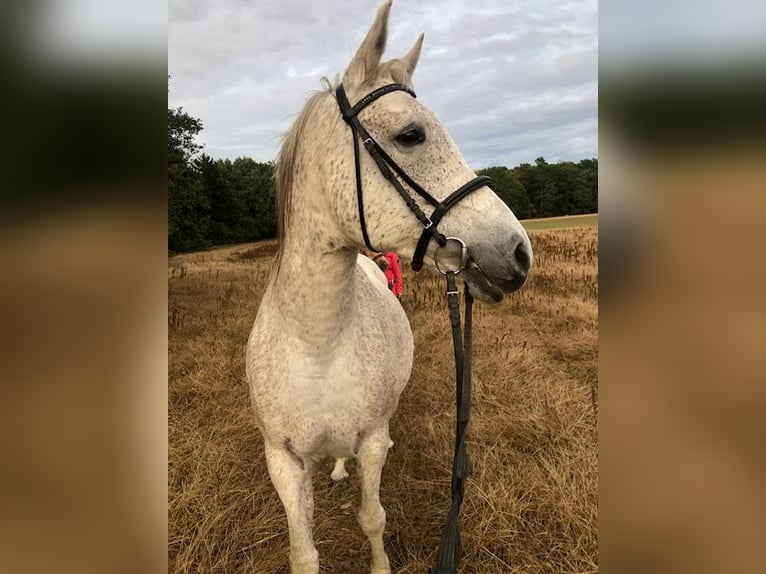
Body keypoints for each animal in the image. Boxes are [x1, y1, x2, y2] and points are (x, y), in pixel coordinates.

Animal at [248, 2, 536, 572]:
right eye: (410, 134)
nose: (519, 252)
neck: (315, 345)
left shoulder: (371, 443)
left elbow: (372, 518)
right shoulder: (283, 462)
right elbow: (303, 551)